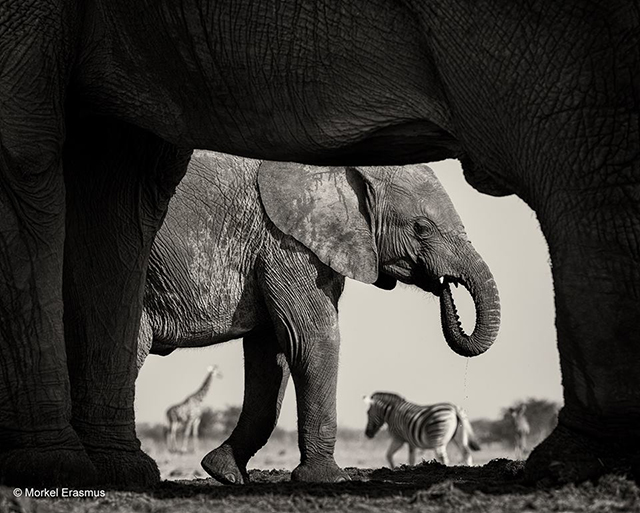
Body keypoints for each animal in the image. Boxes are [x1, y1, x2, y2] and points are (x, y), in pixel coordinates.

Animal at [139, 149, 500, 484]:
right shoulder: (287, 244)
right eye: (422, 228)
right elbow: (312, 338)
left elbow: (271, 355)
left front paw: (224, 472)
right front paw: (330, 479)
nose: (444, 285)